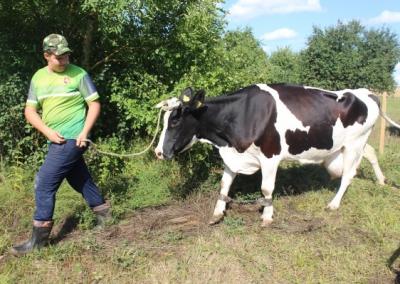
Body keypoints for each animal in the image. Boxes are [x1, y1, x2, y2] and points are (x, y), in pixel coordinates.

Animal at [153, 84, 396, 226]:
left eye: (175, 120)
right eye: (165, 120)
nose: (158, 152)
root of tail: (365, 92)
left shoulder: (270, 156)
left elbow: (266, 188)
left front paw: (267, 216)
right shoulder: (233, 155)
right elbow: (224, 185)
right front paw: (217, 212)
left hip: (355, 143)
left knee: (348, 174)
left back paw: (334, 204)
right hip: (354, 144)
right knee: (370, 153)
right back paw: (382, 181)